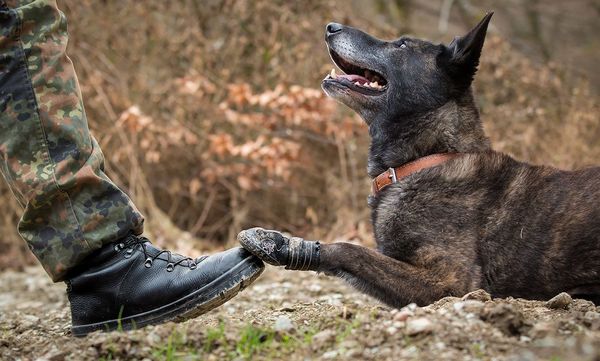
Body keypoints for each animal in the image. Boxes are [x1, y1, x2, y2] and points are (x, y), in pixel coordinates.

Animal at [237, 12, 596, 308]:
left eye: (402, 44)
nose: (330, 27)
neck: (428, 158)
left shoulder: (451, 282)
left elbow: (349, 249)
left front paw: (286, 245)